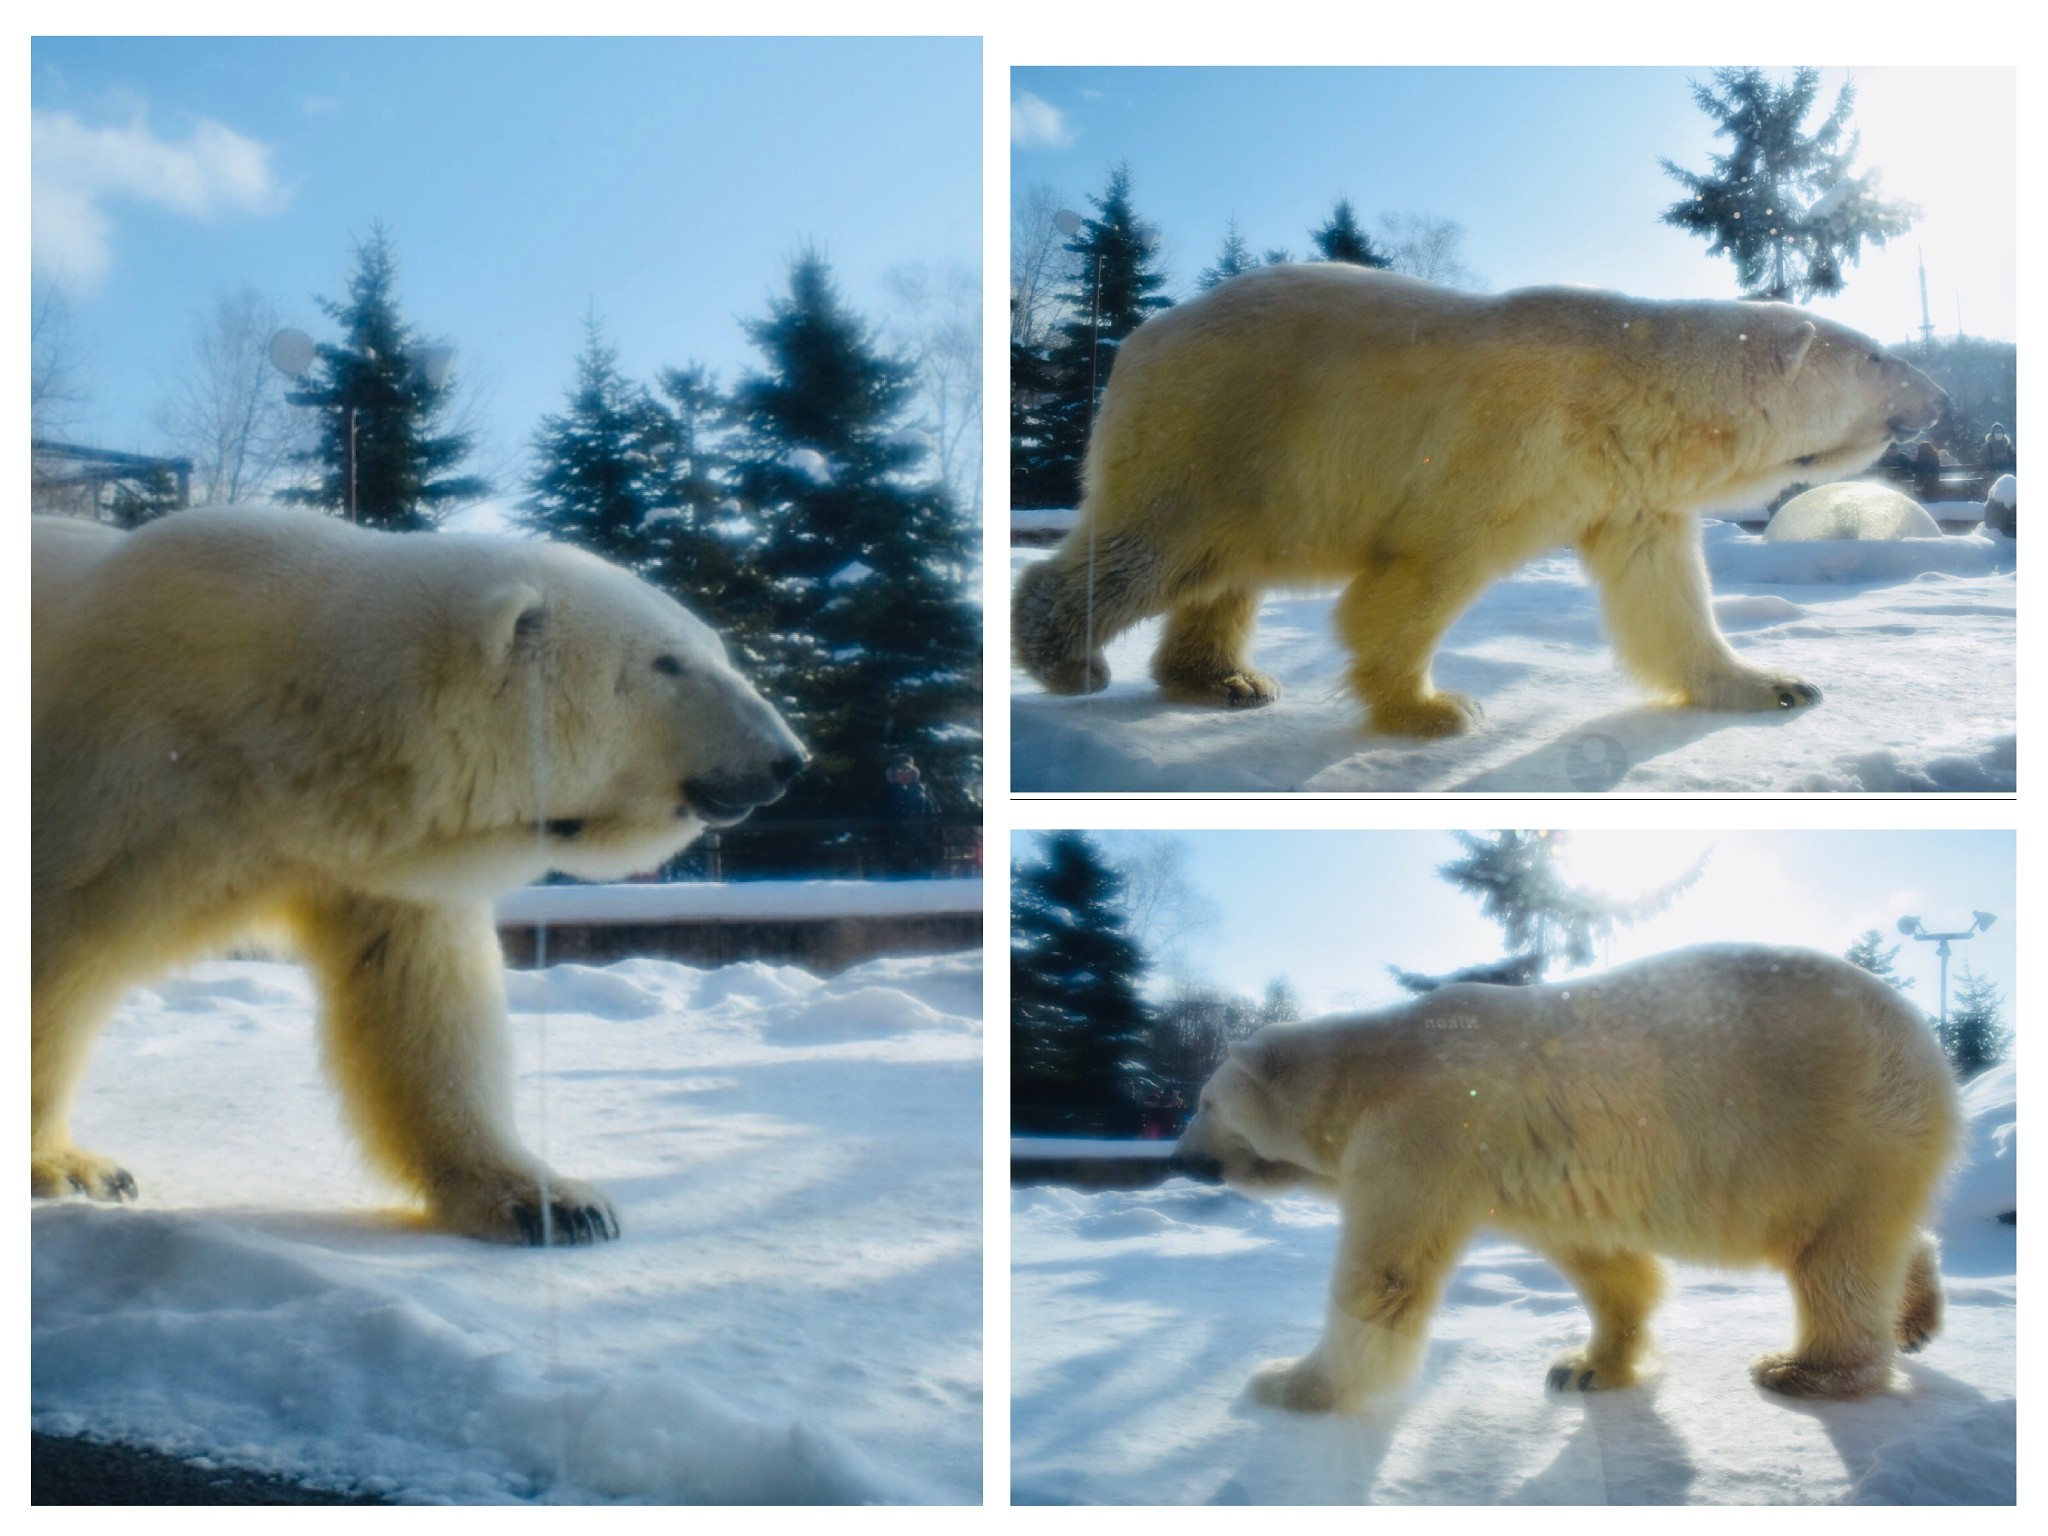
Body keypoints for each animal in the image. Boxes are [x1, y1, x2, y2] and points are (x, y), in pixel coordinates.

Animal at [34, 512, 806, 1245]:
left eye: (717, 650)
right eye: (667, 661)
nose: (787, 758)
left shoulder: (371, 861)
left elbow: (421, 998)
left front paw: (550, 1203)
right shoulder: (123, 789)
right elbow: (59, 965)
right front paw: (73, 1169)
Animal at [1015, 266, 1941, 741]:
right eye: (1877, 355)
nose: (1932, 392)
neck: (1631, 393)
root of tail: (1135, 343)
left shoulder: (1628, 488)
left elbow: (1664, 594)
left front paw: (1775, 684)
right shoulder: (1511, 445)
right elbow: (1425, 571)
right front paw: (1433, 707)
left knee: (1224, 571)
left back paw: (1226, 679)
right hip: (1215, 431)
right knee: (1158, 549)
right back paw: (1069, 657)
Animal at [1171, 946, 1949, 1417]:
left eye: (1205, 1102)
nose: (1181, 1156)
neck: (1374, 1069)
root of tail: (1925, 1040)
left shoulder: (1428, 1125)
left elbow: (1384, 1278)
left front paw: (1284, 1383)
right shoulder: (1535, 1173)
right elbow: (1607, 1265)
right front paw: (1583, 1367)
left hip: (1835, 1131)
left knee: (1836, 1259)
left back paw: (1803, 1370)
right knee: (1878, 1240)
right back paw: (1915, 1313)